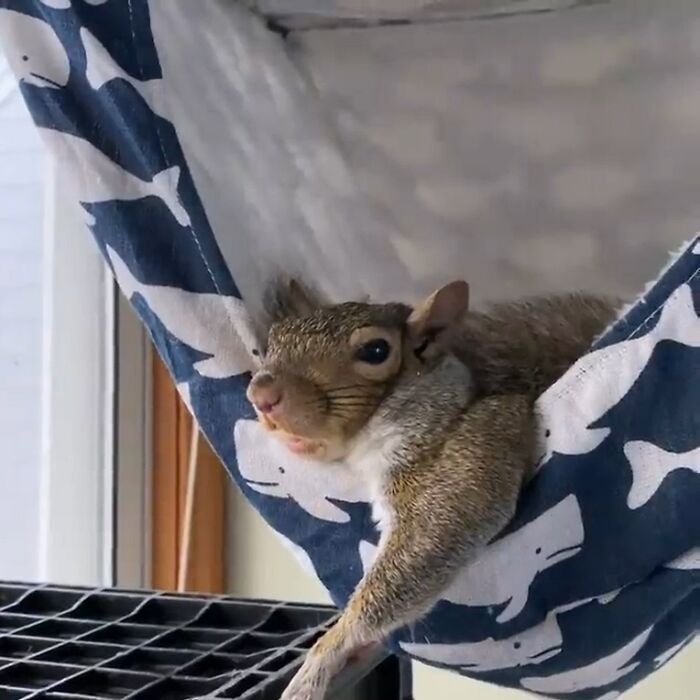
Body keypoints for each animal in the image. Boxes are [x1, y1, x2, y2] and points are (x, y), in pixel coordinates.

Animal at [246, 278, 616, 700]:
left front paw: (321, 659)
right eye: (273, 338)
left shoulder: (473, 450)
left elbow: (430, 541)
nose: (262, 396)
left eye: (376, 350)